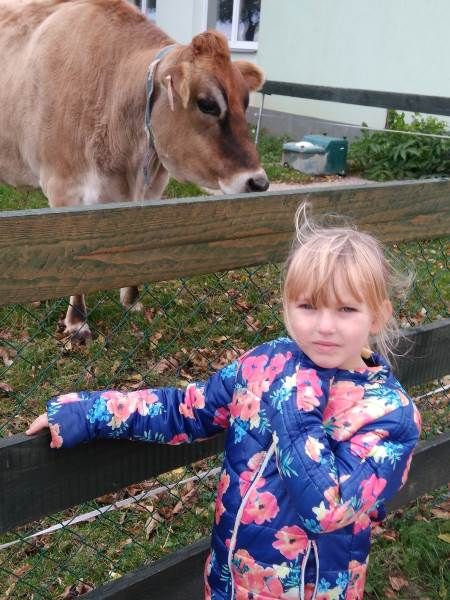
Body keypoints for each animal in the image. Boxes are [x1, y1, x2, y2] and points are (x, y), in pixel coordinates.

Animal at [0, 0, 269, 343]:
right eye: (207, 104)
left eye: (245, 103)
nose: (258, 182)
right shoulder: (64, 187)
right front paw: (78, 324)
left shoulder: (150, 190)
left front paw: (132, 301)